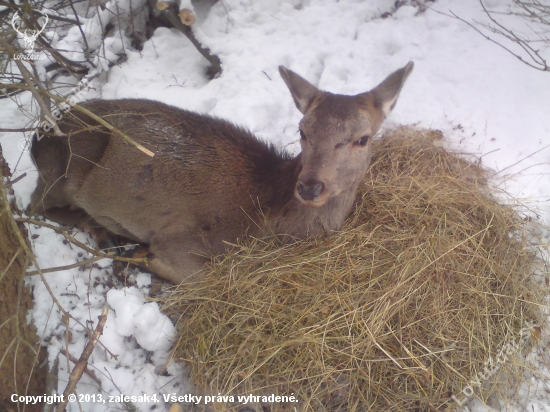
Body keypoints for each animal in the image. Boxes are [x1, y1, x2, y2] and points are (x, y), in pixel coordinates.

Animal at [30, 62, 414, 284]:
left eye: (362, 138)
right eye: (303, 130)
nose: (309, 186)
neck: (264, 215)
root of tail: (39, 136)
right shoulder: (179, 235)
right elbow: (197, 274)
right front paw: (136, 257)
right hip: (64, 166)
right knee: (36, 206)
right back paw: (98, 228)